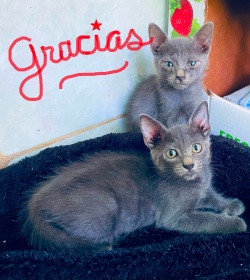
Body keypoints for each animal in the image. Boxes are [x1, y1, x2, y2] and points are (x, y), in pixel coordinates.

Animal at [22, 101, 247, 253]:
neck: (193, 183)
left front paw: (231, 205)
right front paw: (235, 223)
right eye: (171, 153)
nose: (189, 165)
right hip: (106, 205)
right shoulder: (174, 217)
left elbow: (212, 196)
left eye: (196, 147)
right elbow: (206, 219)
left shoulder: (203, 188)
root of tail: (34, 208)